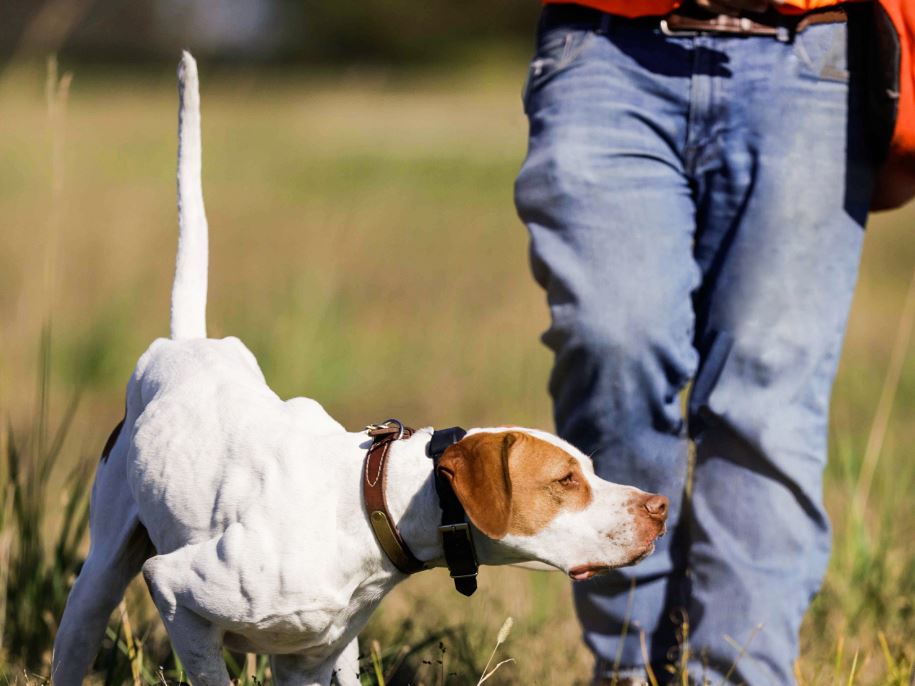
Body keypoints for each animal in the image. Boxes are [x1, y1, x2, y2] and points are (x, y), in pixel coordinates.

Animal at [50, 51, 668, 684]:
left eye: (588, 468)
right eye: (564, 480)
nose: (660, 507)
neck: (371, 506)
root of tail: (188, 343)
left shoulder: (309, 657)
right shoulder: (175, 591)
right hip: (98, 582)